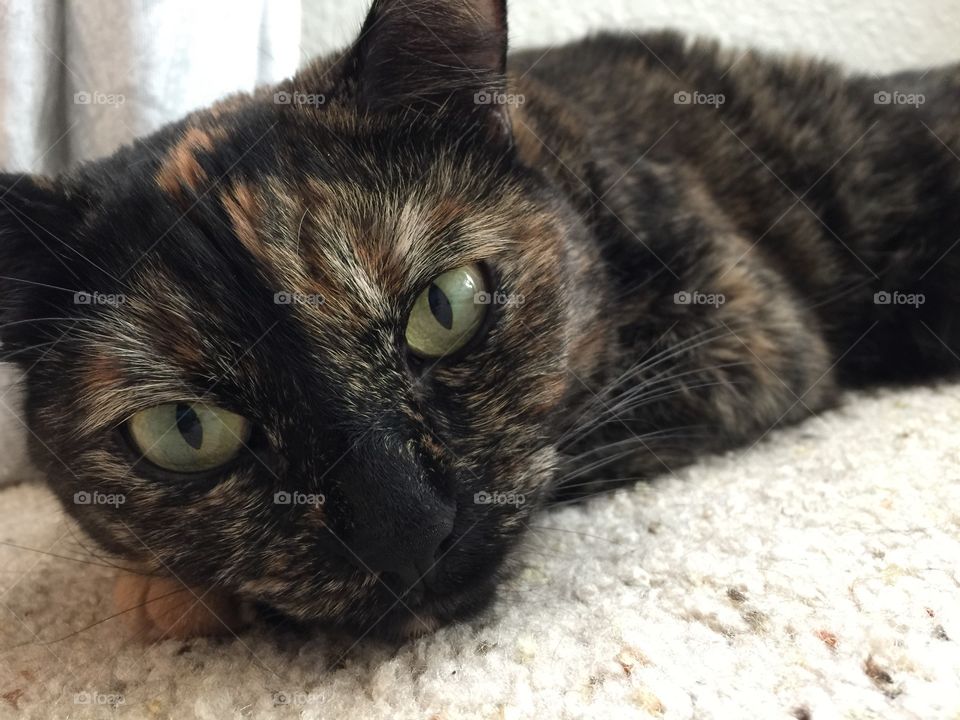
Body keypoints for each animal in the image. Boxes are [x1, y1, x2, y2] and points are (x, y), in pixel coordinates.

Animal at [1, 0, 960, 640]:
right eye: (185, 429)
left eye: (446, 306)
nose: (406, 530)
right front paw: (169, 587)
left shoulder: (746, 329)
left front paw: (174, 595)